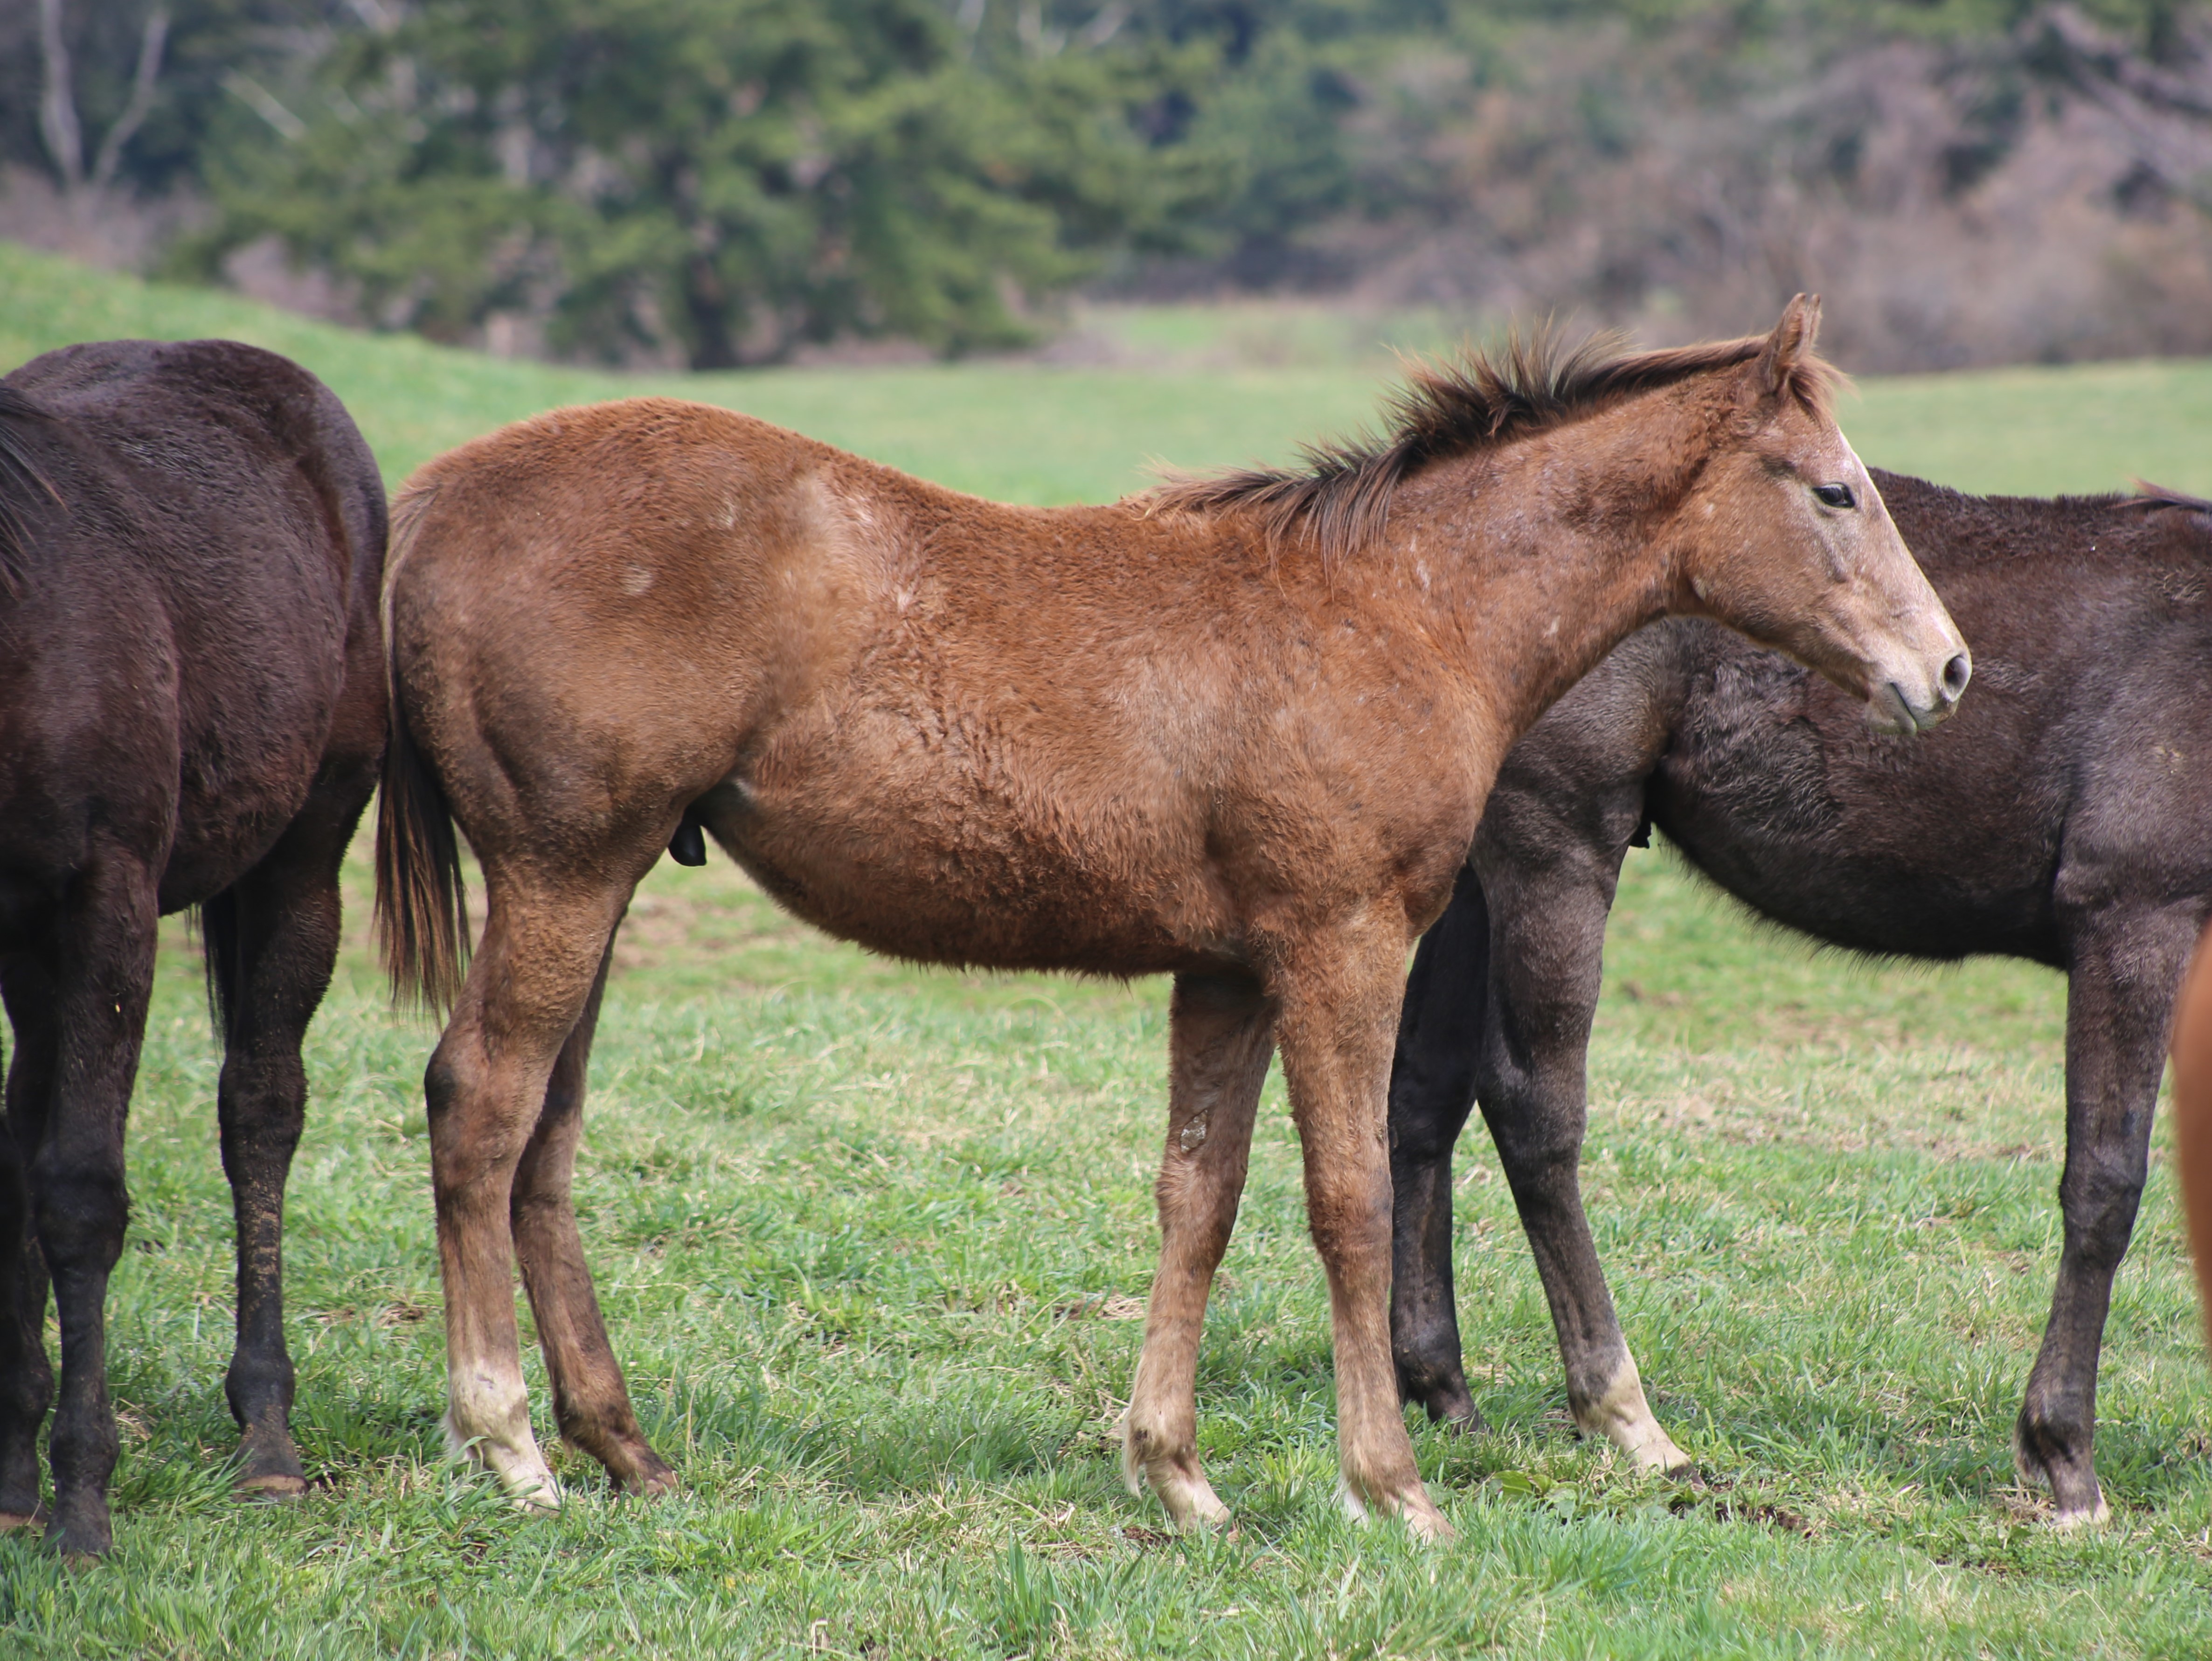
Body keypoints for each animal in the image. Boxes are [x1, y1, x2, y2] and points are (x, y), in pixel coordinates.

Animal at [0, 341, 385, 1557]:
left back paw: (267, 1431)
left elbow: (82, 1194)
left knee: (260, 1107)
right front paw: (23, 1476)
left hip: (303, 858)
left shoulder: (107, 903)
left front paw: (82, 1499)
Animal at [376, 303, 1973, 1548]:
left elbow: (1195, 1194)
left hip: (606, 879)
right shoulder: (1341, 946)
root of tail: (433, 498)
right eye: (1833, 492)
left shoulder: (1227, 970)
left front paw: (1177, 1475)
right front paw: (1390, 1487)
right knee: (482, 1100)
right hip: (564, 870)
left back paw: (624, 1447)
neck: (1399, 610)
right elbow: (1348, 1198)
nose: (1947, 670)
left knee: (546, 1139)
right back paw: (506, 1443)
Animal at [1389, 473, 2212, 1530]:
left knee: (1421, 1095)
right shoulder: (2133, 915)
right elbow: (2104, 1183)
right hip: (1554, 842)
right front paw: (2061, 1456)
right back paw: (1623, 1415)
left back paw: (1441, 1389)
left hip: (1473, 871)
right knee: (1532, 1108)